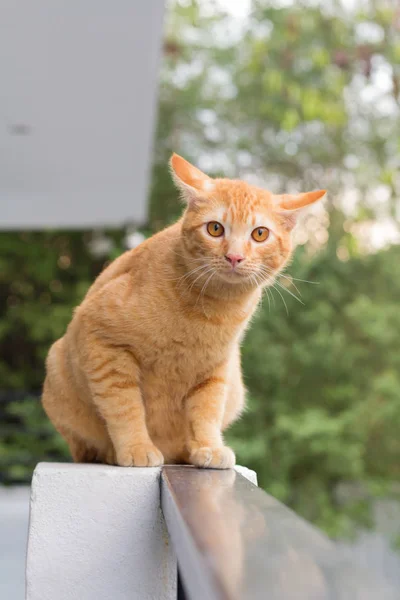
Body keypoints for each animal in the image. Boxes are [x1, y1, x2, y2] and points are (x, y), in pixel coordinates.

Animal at [43, 155, 324, 468]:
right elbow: (124, 407)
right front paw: (137, 447)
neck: (212, 310)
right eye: (215, 229)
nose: (234, 257)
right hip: (57, 365)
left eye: (259, 234)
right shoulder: (103, 342)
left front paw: (208, 446)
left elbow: (206, 412)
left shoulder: (215, 370)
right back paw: (109, 454)